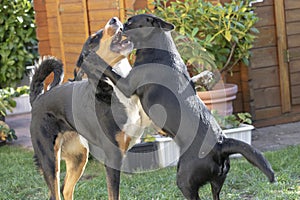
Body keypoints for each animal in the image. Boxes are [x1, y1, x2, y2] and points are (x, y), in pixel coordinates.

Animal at [29, 14, 276, 200]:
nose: (116, 19)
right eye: (96, 36)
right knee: (58, 192)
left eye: (130, 22)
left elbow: (112, 71)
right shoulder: (115, 153)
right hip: (56, 160)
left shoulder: (135, 98)